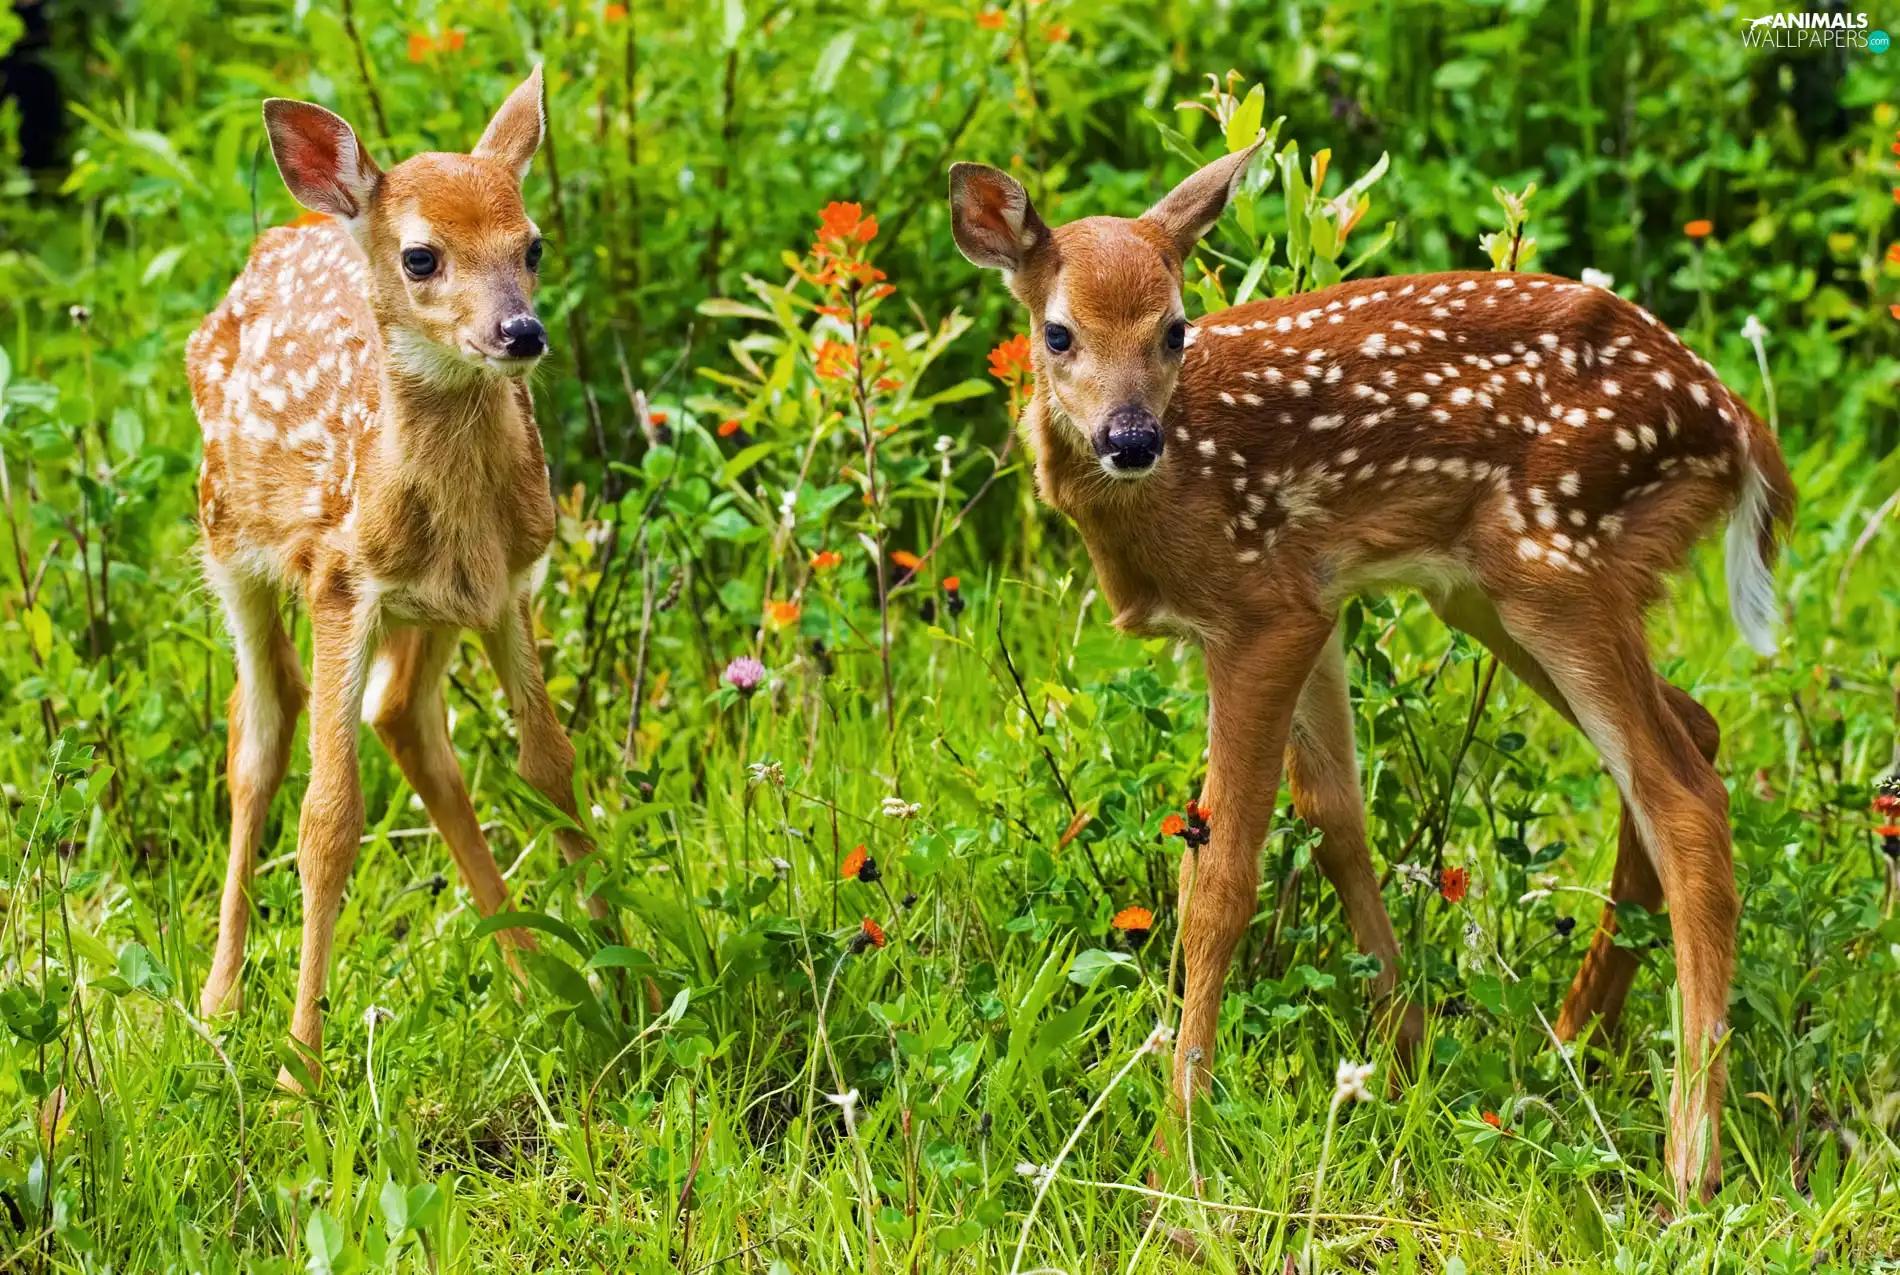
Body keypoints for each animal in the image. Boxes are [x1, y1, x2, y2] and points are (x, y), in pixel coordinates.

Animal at [185, 67, 603, 1086]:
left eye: (533, 244)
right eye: (421, 257)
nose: (520, 331)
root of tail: (287, 232)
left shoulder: (506, 586)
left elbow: (550, 766)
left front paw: (632, 977)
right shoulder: (343, 582)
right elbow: (329, 820)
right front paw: (300, 1069)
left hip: (433, 614)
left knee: (404, 718)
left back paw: (526, 974)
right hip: (228, 543)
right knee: (258, 733)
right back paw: (219, 1001)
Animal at [948, 138, 1795, 1202]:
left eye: (1176, 328)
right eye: (1057, 334)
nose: (1129, 437)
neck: (1170, 497)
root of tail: (1736, 422)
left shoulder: (1260, 610)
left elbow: (1221, 878)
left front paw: (1179, 1146)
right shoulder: (1316, 599)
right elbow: (1336, 819)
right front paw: (1406, 1054)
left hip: (1555, 559)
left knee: (1682, 796)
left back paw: (1689, 1158)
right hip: (1496, 590)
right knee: (1690, 736)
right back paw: (1568, 1047)